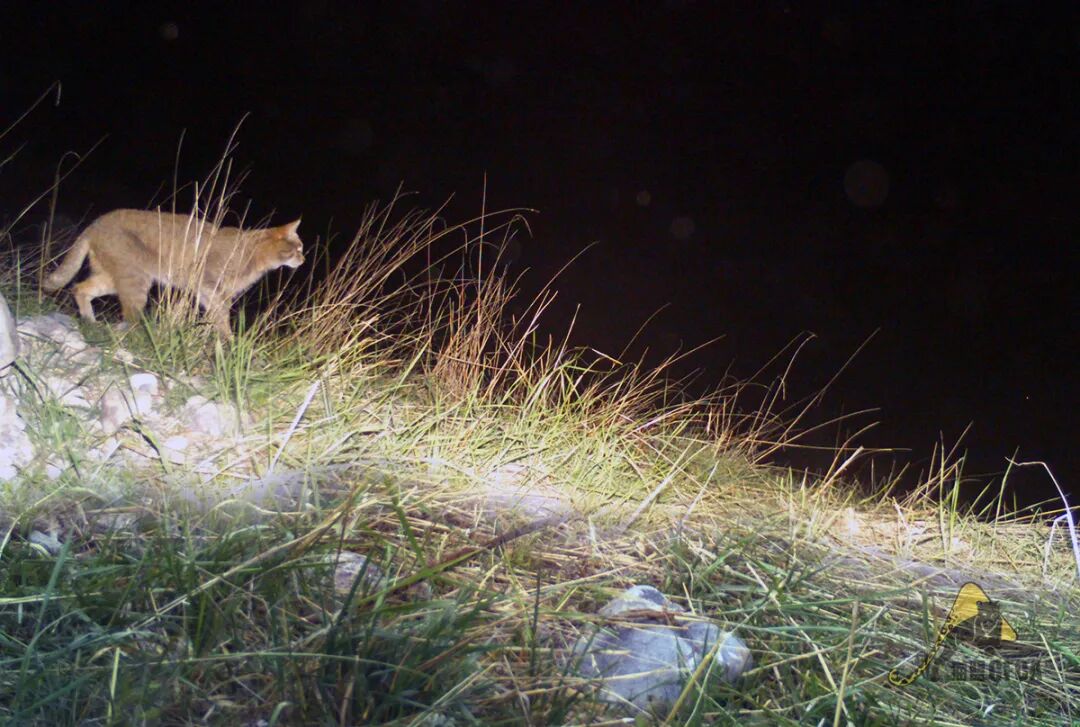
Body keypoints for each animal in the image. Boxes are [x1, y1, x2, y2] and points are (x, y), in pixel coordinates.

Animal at [43, 209, 304, 336]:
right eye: (298, 248)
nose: (304, 259)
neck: (251, 253)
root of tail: (95, 223)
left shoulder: (208, 293)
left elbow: (216, 318)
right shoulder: (211, 286)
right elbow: (223, 317)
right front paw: (228, 341)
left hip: (113, 278)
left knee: (80, 288)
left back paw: (90, 321)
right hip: (136, 281)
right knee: (130, 316)